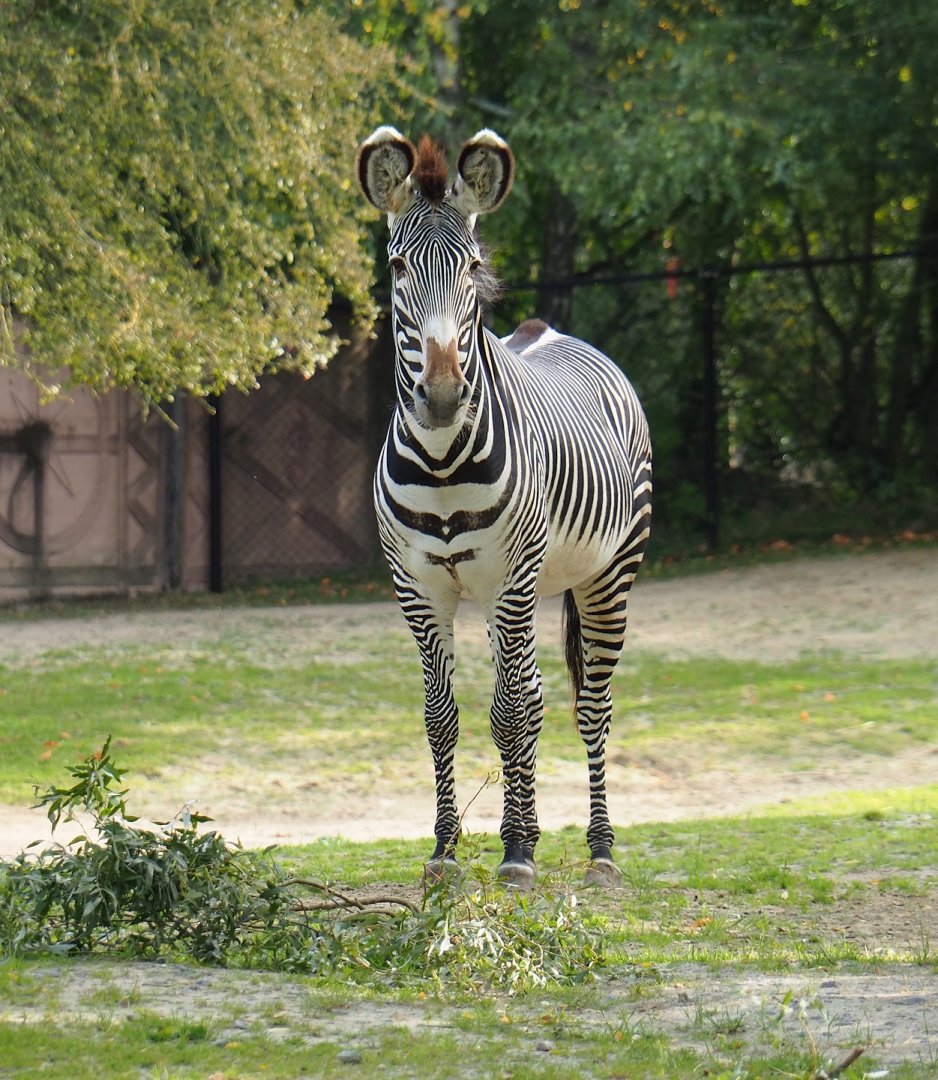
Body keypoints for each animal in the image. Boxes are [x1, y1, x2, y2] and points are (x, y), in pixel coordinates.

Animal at [356, 126, 652, 888]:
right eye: (396, 266)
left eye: (472, 266)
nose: (439, 396)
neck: (441, 461)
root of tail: (545, 329)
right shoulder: (419, 587)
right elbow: (444, 715)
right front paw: (446, 850)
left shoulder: (510, 578)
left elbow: (510, 713)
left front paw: (516, 852)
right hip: (515, 593)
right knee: (540, 694)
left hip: (605, 576)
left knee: (589, 705)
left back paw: (599, 849)